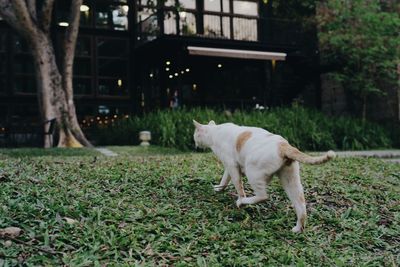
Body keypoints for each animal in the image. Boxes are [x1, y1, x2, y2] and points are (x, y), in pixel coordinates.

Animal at [193, 120, 334, 233]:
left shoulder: (232, 165)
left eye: (195, 136)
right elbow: (224, 179)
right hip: (290, 181)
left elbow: (238, 185)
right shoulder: (230, 167)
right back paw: (298, 228)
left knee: (263, 196)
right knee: (301, 207)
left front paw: (240, 198)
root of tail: (284, 145)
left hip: (252, 172)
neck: (215, 132)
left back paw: (243, 202)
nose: (195, 144)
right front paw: (219, 189)